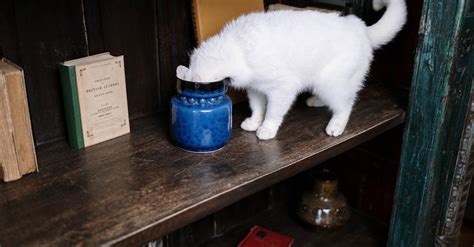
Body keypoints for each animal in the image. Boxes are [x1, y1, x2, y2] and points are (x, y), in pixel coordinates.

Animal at [178, 0, 408, 140]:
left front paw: (266, 129)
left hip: (330, 82)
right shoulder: (256, 89)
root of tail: (360, 27)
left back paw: (336, 126)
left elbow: (272, 112)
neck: (237, 47)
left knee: (346, 104)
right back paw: (316, 101)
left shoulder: (283, 89)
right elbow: (257, 108)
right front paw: (254, 122)